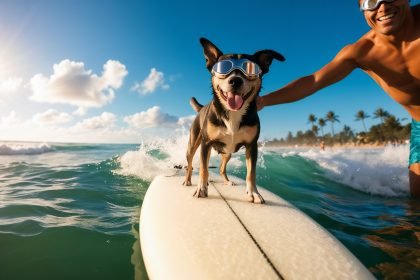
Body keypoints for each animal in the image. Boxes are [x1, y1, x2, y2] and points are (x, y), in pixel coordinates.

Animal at [182, 37, 284, 203]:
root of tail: (202, 108)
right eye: (223, 68)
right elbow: (203, 169)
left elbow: (251, 173)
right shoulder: (206, 143)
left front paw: (253, 192)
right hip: (193, 144)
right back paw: (188, 180)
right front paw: (201, 188)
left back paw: (227, 181)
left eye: (250, 69)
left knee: (222, 168)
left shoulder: (251, 146)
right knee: (190, 164)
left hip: (228, 151)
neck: (233, 113)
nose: (235, 80)